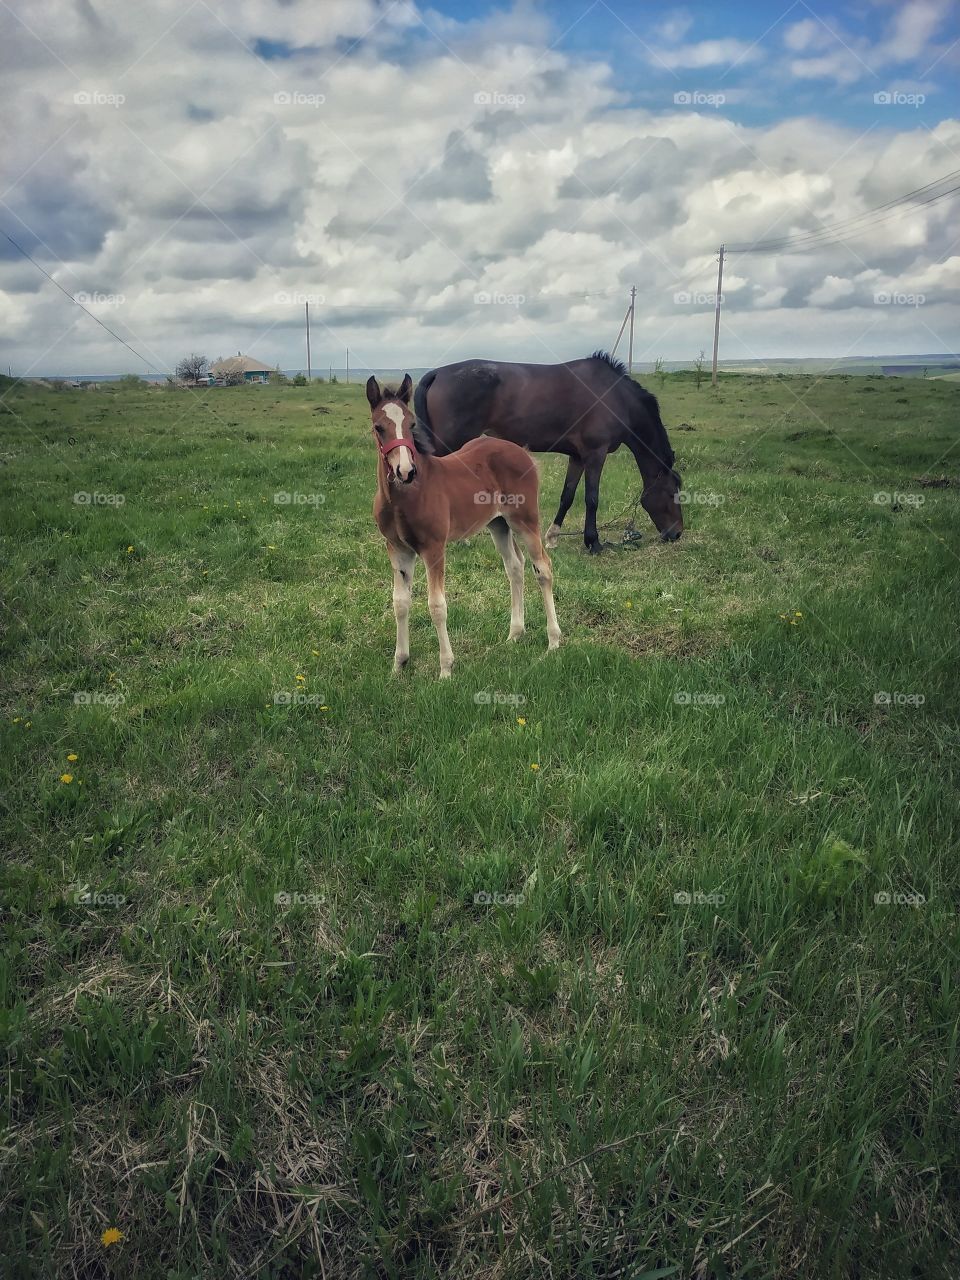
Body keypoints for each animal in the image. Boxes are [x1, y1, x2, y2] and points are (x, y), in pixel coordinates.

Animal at [367, 373, 561, 679]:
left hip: (525, 521)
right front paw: (399, 665)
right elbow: (400, 603)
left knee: (542, 567)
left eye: (411, 424)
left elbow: (437, 605)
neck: (403, 498)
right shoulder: (397, 549)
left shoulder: (434, 548)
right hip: (498, 524)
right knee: (514, 567)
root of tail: (522, 452)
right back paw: (515, 634)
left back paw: (553, 640)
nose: (406, 471)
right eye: (379, 427)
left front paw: (446, 668)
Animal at [413, 351, 683, 554]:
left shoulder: (578, 457)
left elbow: (568, 495)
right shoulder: (596, 454)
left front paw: (553, 536)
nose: (677, 533)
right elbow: (592, 498)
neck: (614, 396)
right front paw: (593, 542)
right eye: (672, 494)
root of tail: (436, 373)